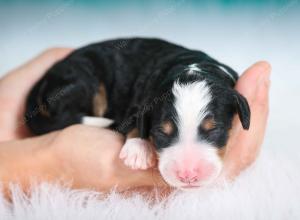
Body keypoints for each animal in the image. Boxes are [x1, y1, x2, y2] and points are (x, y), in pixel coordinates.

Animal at [25, 37, 251, 189]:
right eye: (161, 133)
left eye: (214, 130)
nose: (187, 175)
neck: (192, 67)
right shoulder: (139, 100)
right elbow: (135, 120)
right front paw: (138, 150)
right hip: (83, 81)